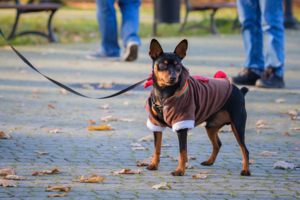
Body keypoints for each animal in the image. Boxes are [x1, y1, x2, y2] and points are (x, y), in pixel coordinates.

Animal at [144, 39, 250, 177]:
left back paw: (246, 170)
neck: (164, 94)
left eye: (178, 66)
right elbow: (157, 148)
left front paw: (180, 170)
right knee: (218, 144)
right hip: (211, 126)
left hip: (237, 125)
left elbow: (182, 151)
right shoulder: (156, 125)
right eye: (162, 65)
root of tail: (240, 90)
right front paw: (154, 165)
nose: (173, 78)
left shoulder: (182, 125)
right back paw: (209, 161)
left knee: (244, 149)